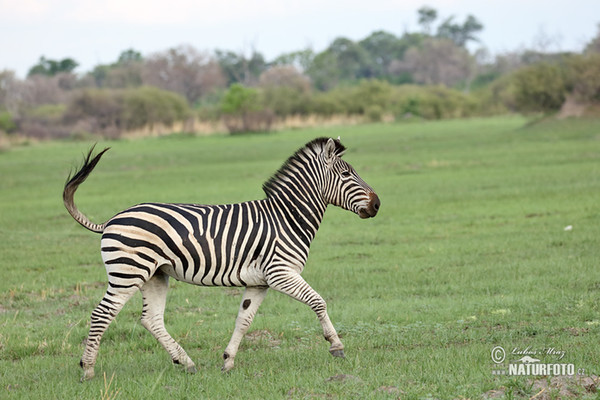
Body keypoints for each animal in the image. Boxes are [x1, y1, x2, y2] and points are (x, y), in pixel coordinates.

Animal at [62, 138, 380, 382]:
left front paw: (227, 361)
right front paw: (336, 345)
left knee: (150, 319)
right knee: (101, 315)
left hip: (155, 275)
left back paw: (186, 363)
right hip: (128, 273)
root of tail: (111, 220)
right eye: (347, 174)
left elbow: (244, 319)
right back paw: (87, 370)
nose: (377, 204)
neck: (286, 218)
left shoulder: (259, 282)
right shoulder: (281, 272)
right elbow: (318, 301)